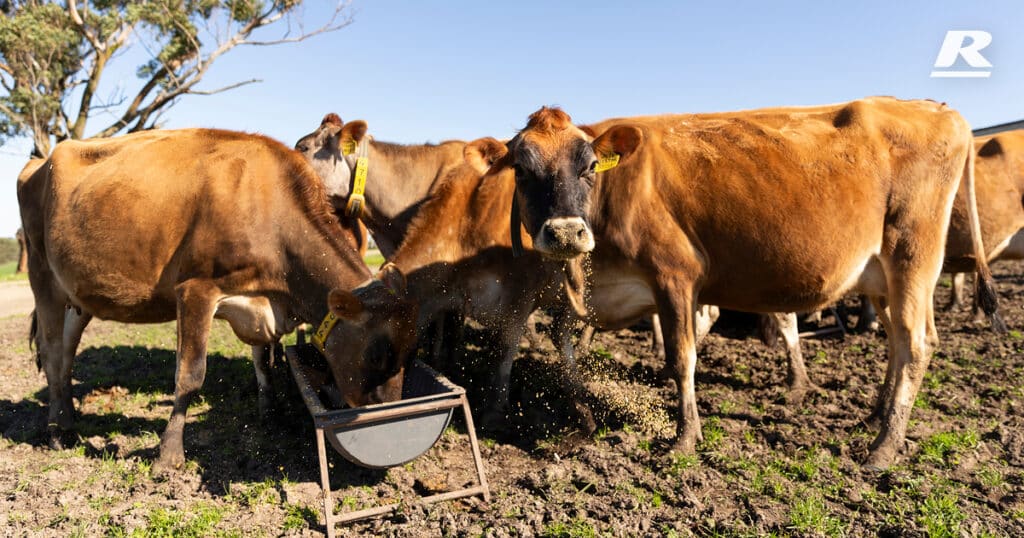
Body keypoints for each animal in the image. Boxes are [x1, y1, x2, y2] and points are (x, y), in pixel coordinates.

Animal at [16, 128, 415, 471]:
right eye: (377, 353)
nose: (391, 411)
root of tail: (42, 159)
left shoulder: (260, 304)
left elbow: (263, 361)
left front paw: (270, 413)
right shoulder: (196, 289)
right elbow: (190, 375)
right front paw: (169, 455)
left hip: (77, 295)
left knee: (67, 354)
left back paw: (69, 419)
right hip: (42, 275)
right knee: (52, 353)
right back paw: (56, 432)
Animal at [485, 98, 999, 467]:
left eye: (590, 166)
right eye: (522, 169)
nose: (566, 232)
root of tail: (936, 108)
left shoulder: (675, 275)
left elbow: (682, 358)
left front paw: (684, 439)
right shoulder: (593, 292)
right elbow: (563, 345)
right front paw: (583, 420)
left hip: (913, 257)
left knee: (916, 343)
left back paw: (884, 446)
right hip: (883, 275)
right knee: (896, 339)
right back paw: (875, 416)